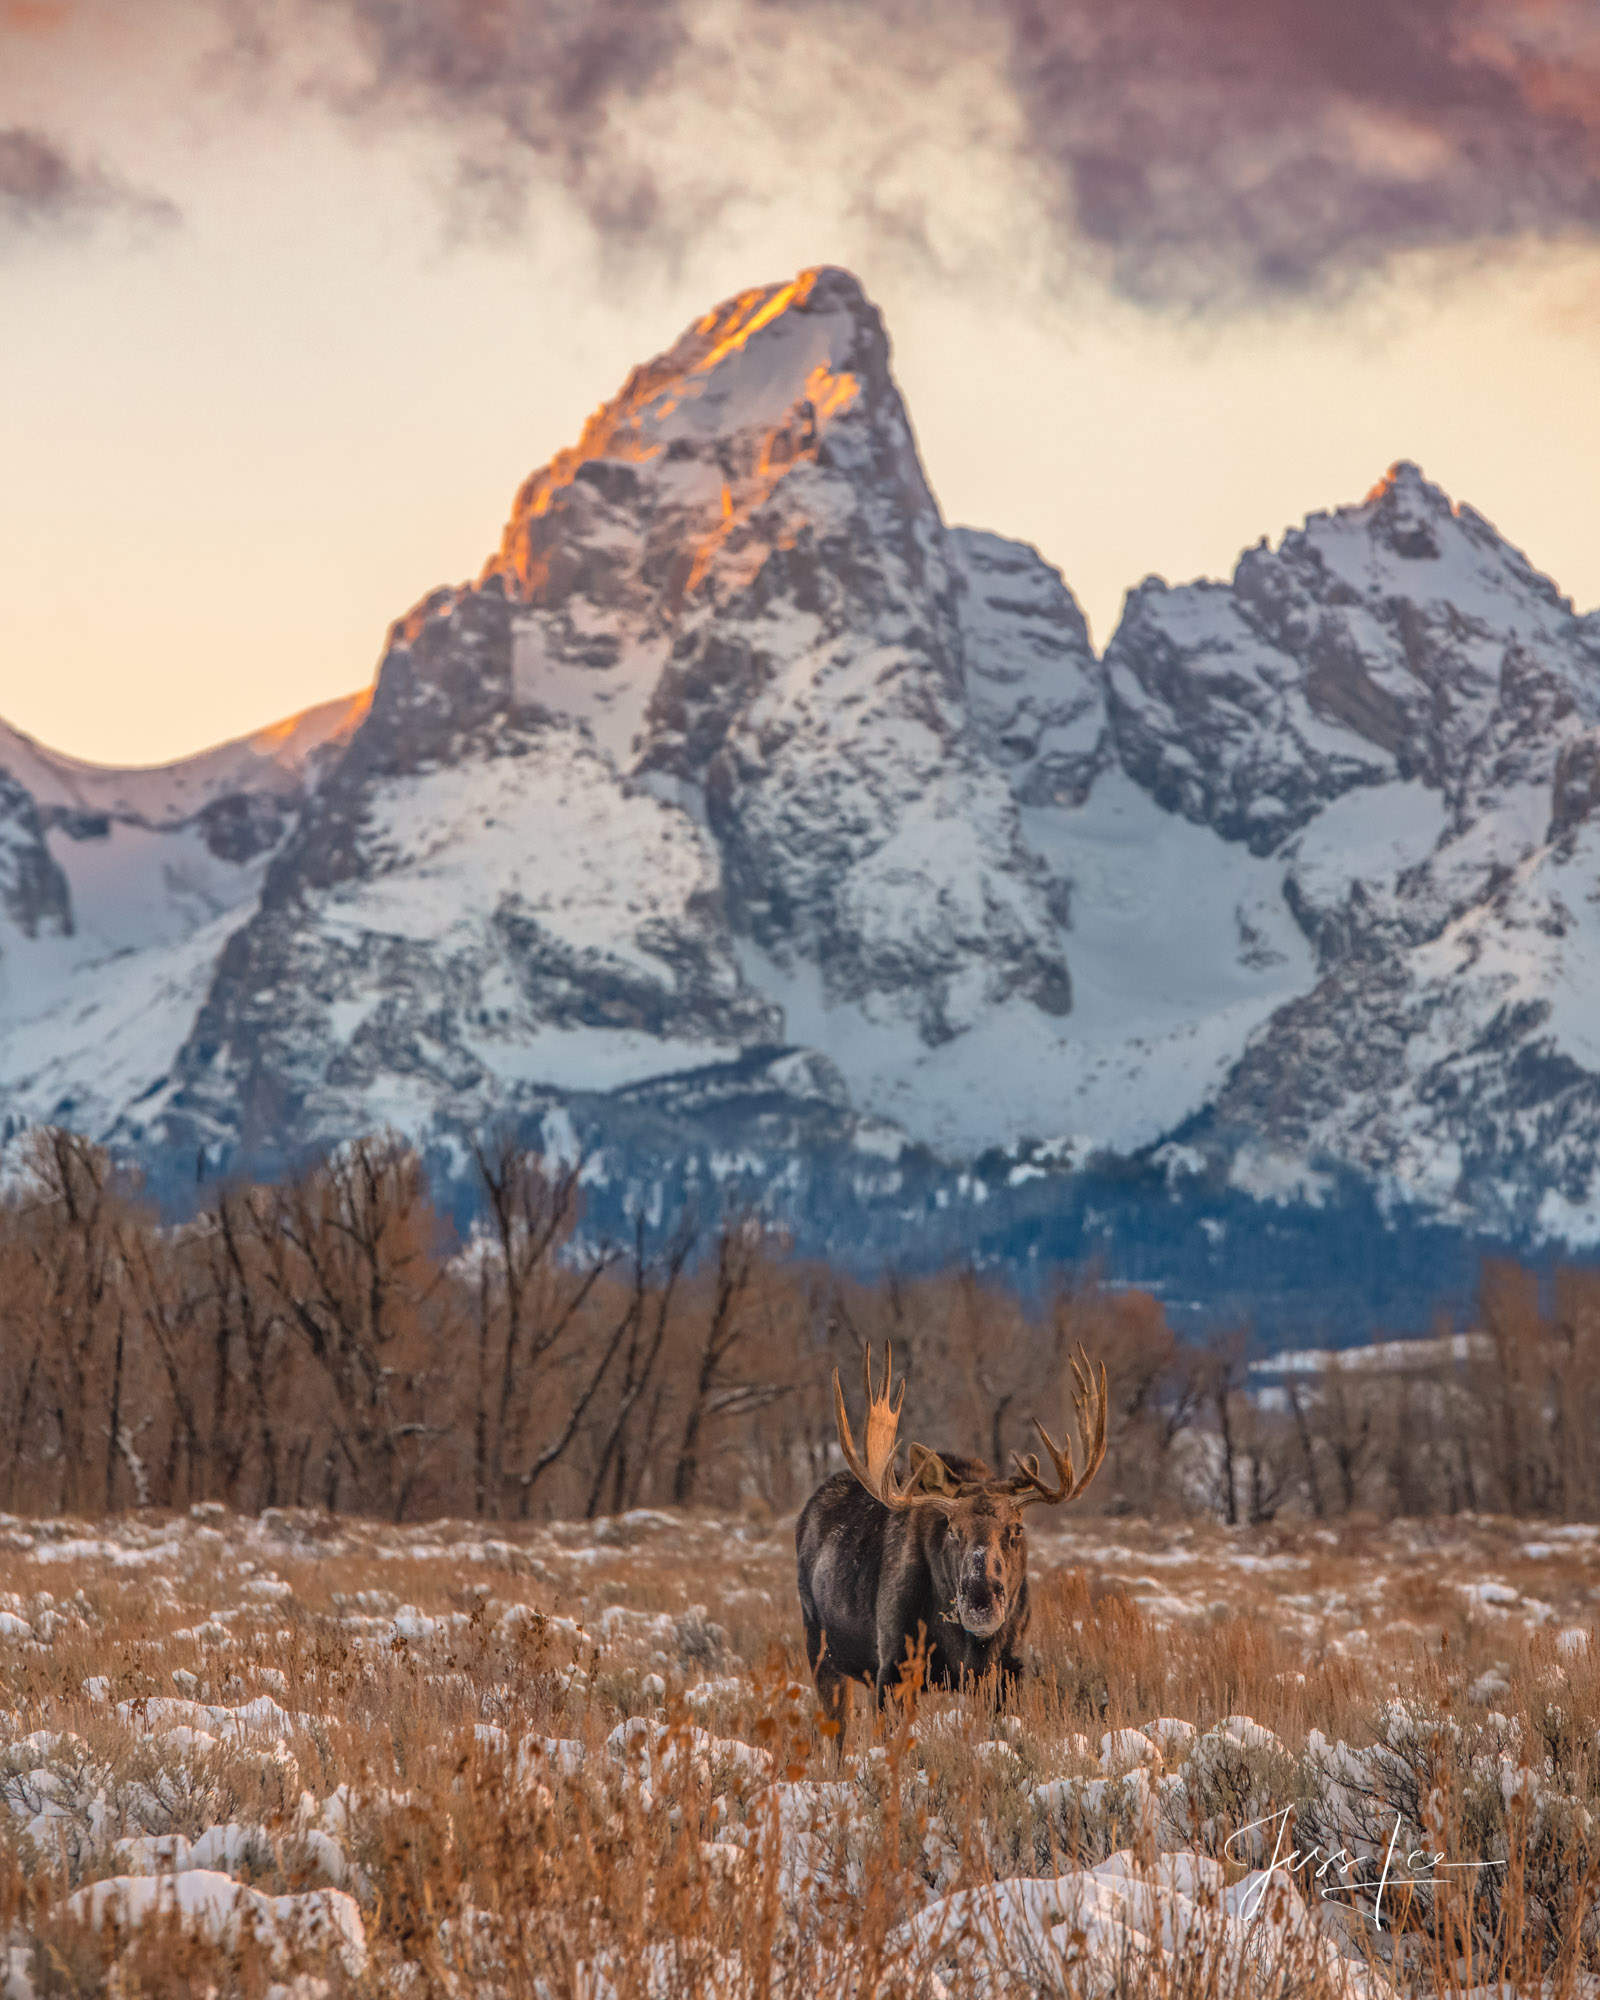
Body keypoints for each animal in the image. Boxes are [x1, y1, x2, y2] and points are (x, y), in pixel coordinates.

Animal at [792, 1344, 1104, 1736]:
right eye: (951, 1529)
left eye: (1017, 1529)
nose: (982, 1601)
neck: (964, 1645)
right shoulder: (893, 1668)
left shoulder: (1008, 1668)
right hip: (820, 1647)